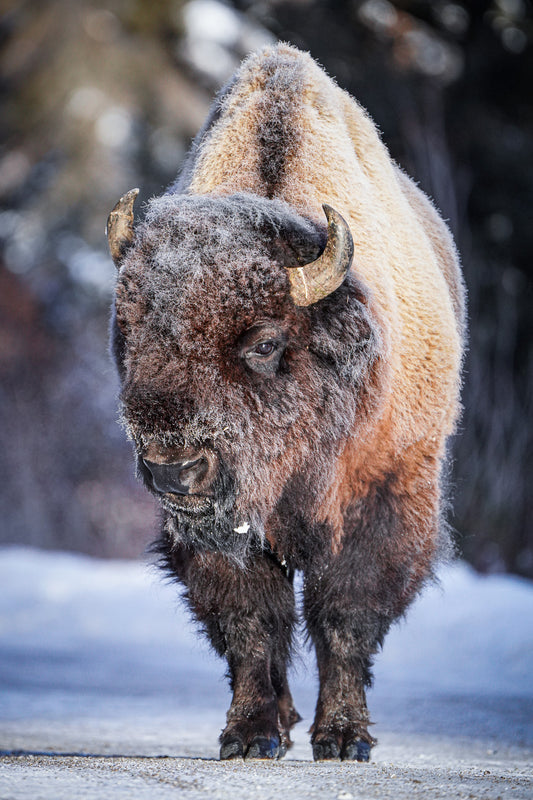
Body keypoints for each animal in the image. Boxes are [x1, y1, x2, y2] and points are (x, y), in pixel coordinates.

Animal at [108, 44, 465, 762]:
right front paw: (250, 735)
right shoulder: (221, 531)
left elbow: (345, 615)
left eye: (266, 342)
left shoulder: (384, 491)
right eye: (127, 330)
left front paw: (345, 738)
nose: (172, 468)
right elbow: (251, 621)